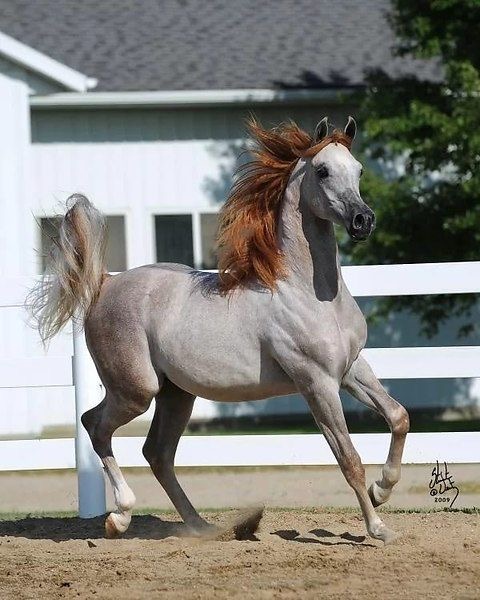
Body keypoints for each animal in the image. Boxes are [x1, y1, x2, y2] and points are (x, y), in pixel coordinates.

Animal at [31, 116, 408, 544]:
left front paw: (382, 490)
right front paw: (379, 528)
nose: (364, 220)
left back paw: (203, 527)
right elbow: (349, 459)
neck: (308, 293)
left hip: (177, 394)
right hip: (136, 391)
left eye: (359, 170)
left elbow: (398, 417)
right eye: (323, 170)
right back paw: (120, 518)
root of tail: (104, 284)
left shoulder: (351, 369)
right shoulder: (317, 382)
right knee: (95, 426)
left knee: (157, 452)